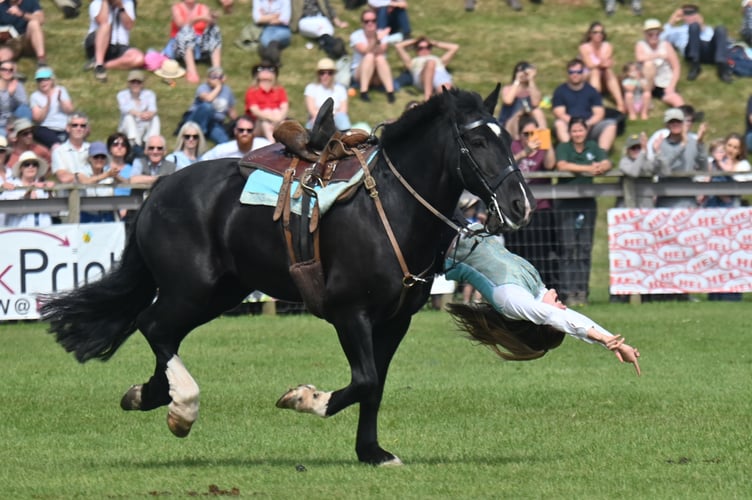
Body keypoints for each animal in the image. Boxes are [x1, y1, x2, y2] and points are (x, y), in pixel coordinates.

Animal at [40, 86, 536, 466]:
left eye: (506, 137)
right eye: (476, 141)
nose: (520, 204)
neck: (390, 207)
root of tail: (160, 189)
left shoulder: (396, 320)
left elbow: (375, 385)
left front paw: (372, 452)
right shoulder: (349, 313)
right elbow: (364, 380)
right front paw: (304, 398)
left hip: (221, 291)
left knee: (163, 332)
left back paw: (152, 394)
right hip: (193, 287)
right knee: (154, 325)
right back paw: (182, 406)